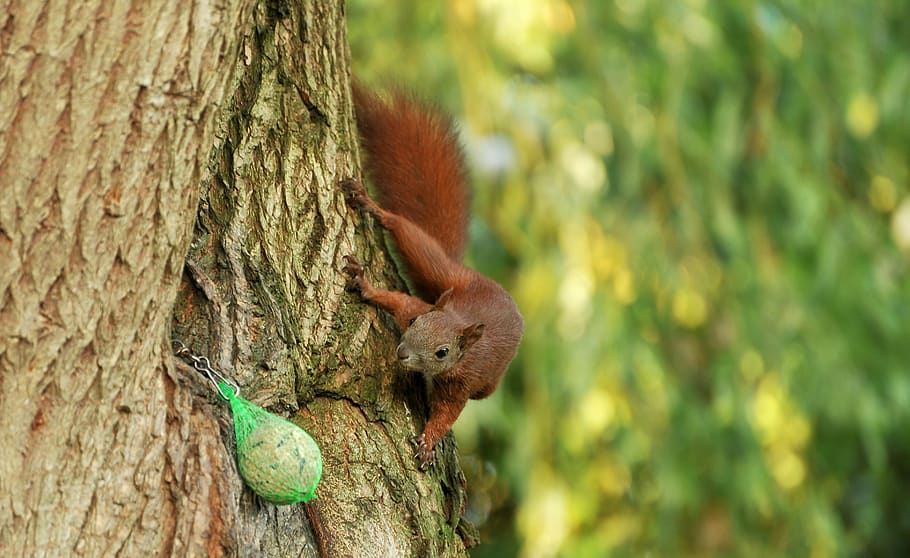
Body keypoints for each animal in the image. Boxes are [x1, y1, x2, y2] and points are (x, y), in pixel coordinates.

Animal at [341, 83, 523, 469]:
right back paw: (372, 207)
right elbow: (398, 301)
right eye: (415, 324)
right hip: (442, 270)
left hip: (487, 386)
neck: (456, 320)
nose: (402, 353)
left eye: (442, 353)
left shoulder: (463, 382)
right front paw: (365, 285)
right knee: (409, 235)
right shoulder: (416, 308)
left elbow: (446, 415)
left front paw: (427, 442)